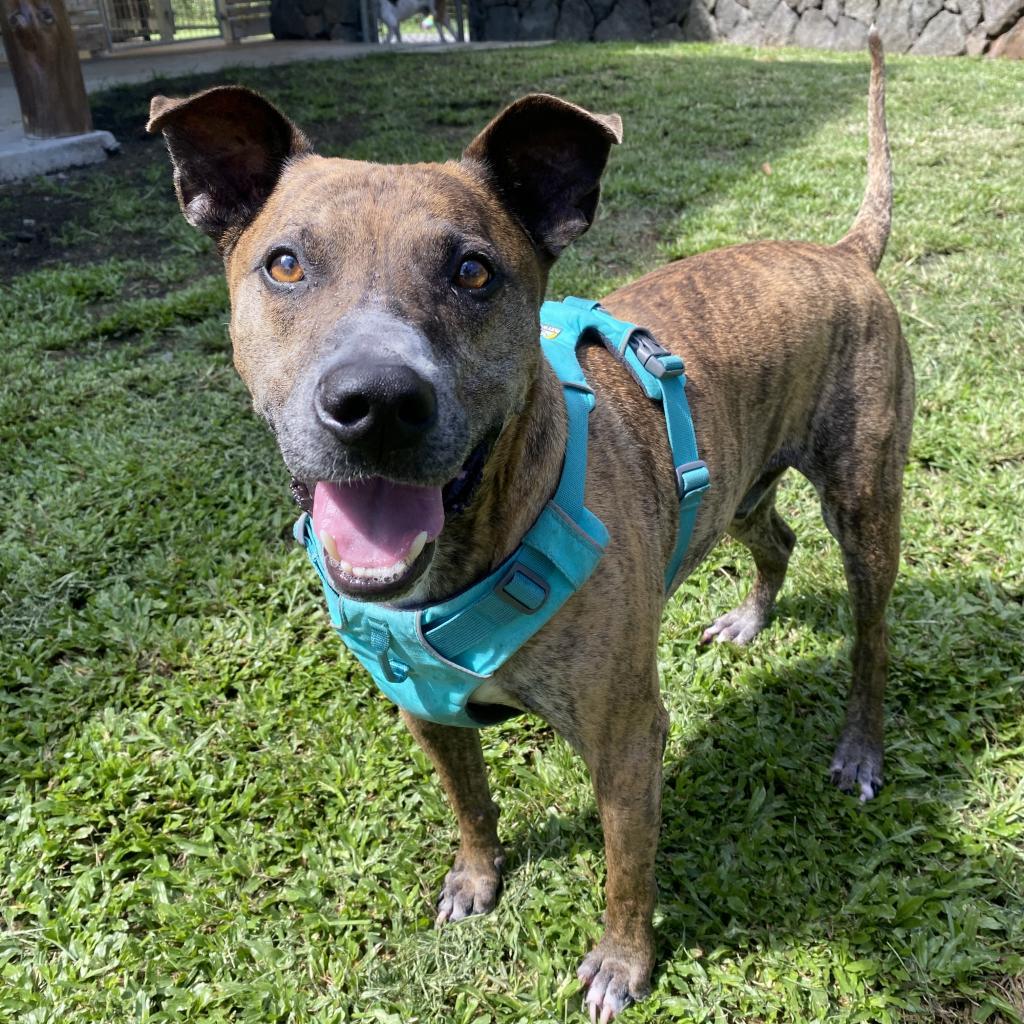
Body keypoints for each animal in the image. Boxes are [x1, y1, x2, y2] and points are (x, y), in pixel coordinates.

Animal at [146, 28, 913, 1019]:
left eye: (474, 271)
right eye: (285, 264)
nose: (376, 402)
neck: (466, 556)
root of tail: (842, 252)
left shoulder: (627, 741)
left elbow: (628, 871)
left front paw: (622, 964)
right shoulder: (425, 713)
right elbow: (470, 801)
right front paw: (477, 878)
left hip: (864, 508)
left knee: (871, 640)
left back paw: (859, 747)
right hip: (738, 488)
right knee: (773, 540)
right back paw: (750, 619)